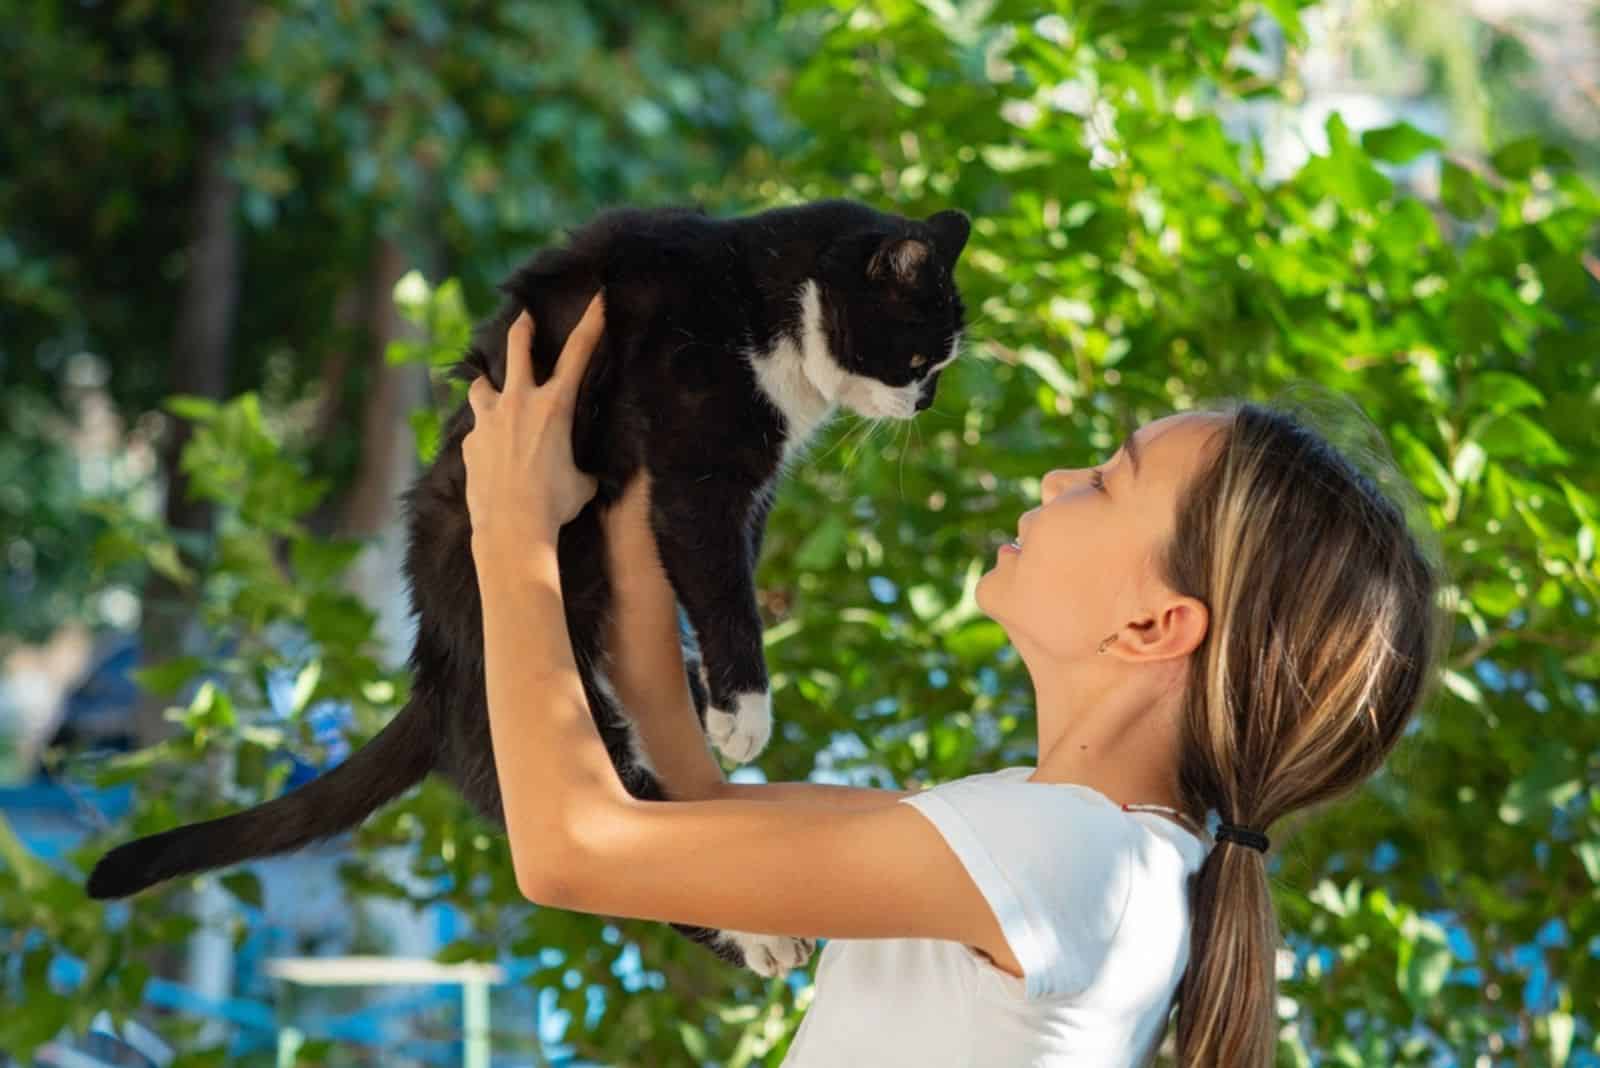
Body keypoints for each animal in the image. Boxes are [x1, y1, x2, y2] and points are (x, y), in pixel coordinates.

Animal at [87, 198, 966, 978]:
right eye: (920, 360)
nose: (925, 402)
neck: (761, 295)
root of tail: (435, 673)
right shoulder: (698, 465)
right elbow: (720, 584)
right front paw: (744, 713)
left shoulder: (748, 489)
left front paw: (719, 705)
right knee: (616, 842)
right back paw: (756, 937)